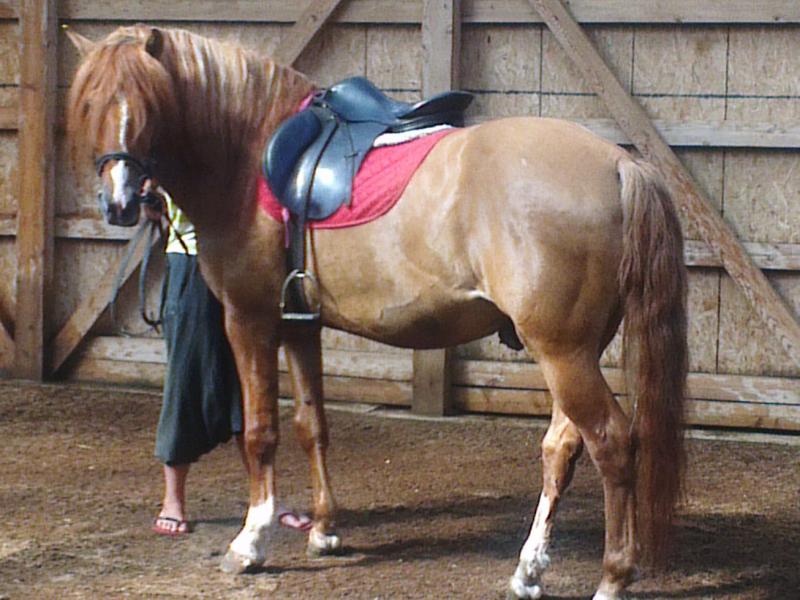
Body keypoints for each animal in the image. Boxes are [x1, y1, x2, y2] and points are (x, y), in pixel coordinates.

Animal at [66, 25, 688, 600]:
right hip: (574, 350)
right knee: (561, 448)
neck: (248, 154)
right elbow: (310, 424)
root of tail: (619, 165)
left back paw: (613, 577)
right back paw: (528, 571)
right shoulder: (300, 324)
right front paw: (323, 530)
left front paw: (251, 542)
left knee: (612, 443)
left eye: (149, 102)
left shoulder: (250, 318)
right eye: (91, 104)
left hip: (562, 353)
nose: (119, 203)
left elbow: (261, 431)